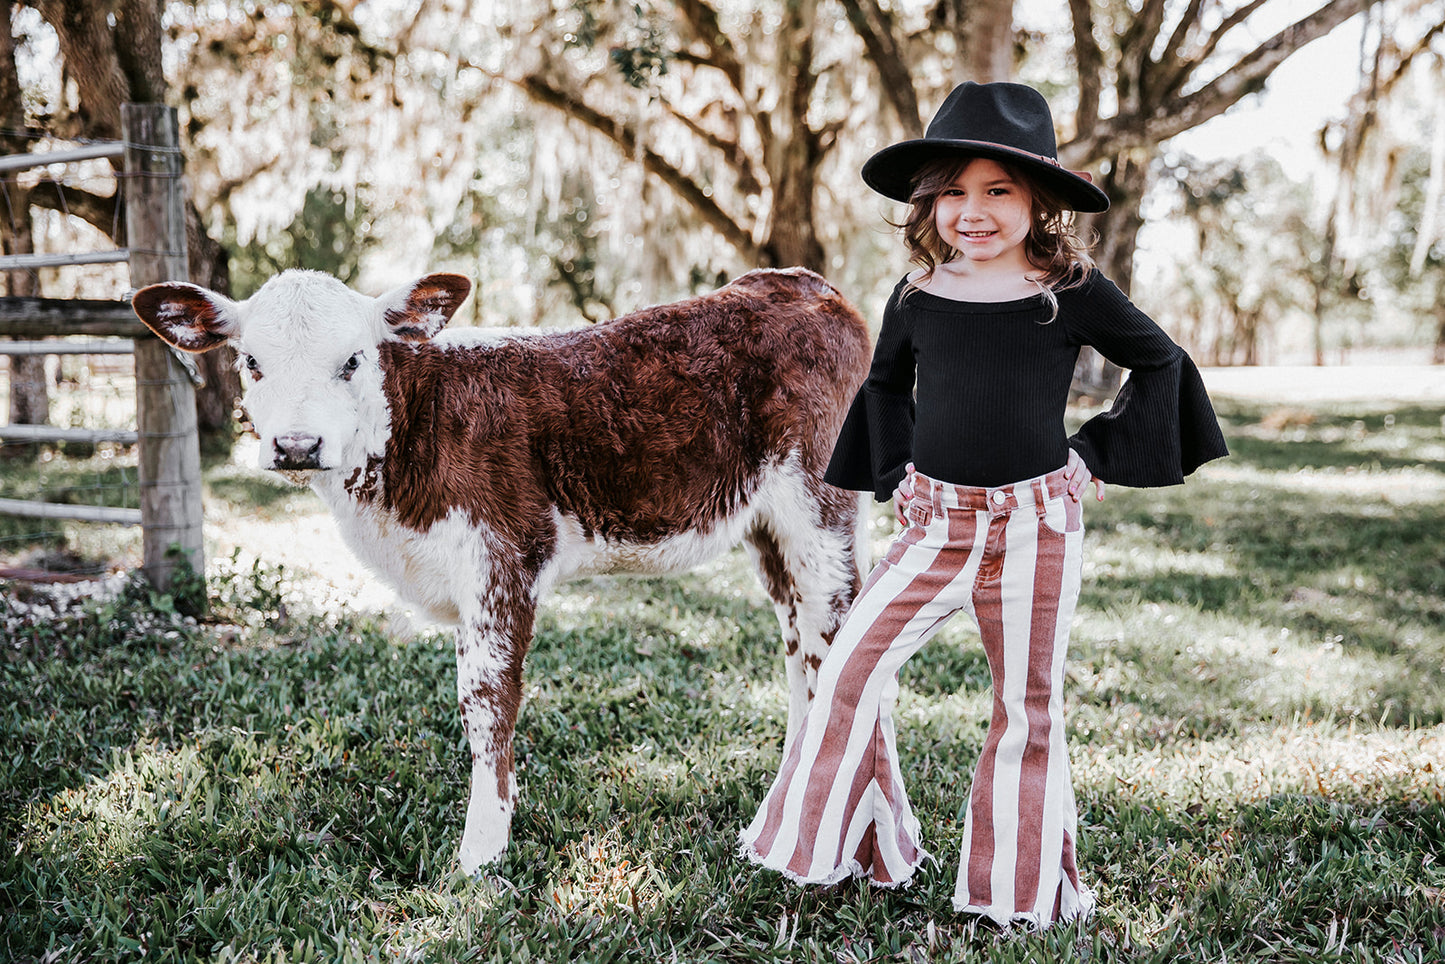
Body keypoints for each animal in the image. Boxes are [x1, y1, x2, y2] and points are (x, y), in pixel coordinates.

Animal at [132, 265, 867, 872]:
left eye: (352, 360)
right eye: (252, 362)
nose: (295, 445)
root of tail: (803, 285)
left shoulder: (501, 562)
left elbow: (487, 704)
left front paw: (481, 852)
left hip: (819, 510)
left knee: (837, 638)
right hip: (769, 531)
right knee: (799, 650)